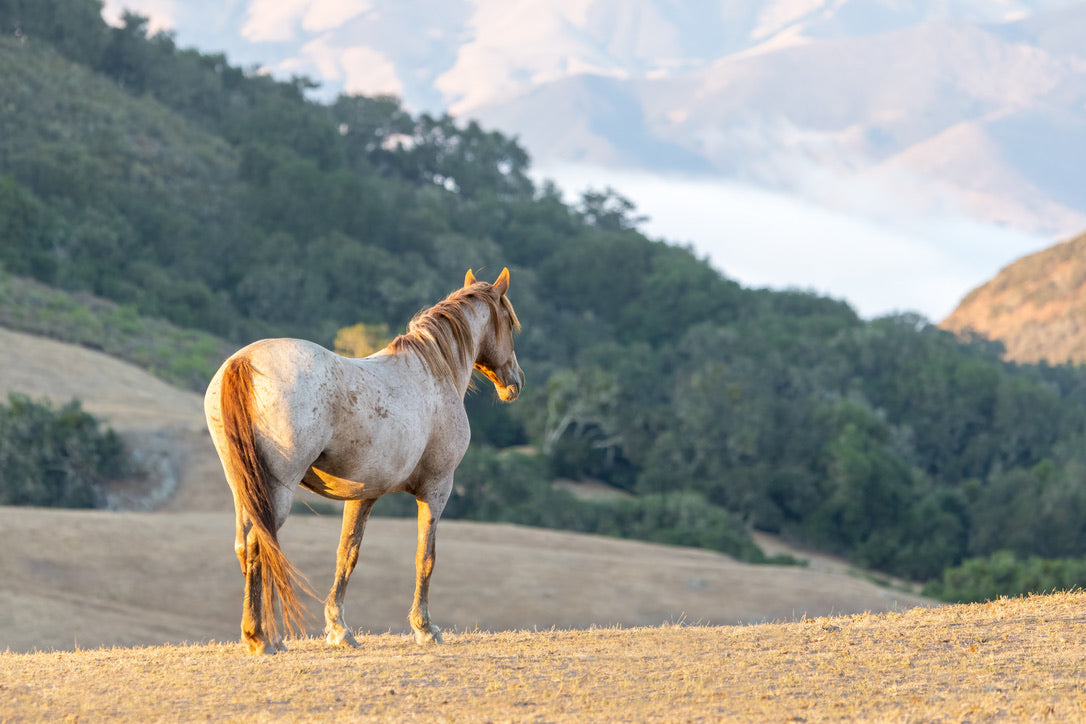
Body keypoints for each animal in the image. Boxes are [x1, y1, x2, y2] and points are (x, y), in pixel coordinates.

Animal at [206, 269, 525, 655]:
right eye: (509, 322)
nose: (515, 382)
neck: (433, 372)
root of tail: (244, 363)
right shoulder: (437, 488)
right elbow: (425, 557)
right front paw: (424, 627)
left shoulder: (363, 495)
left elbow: (347, 555)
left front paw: (338, 628)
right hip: (276, 489)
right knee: (257, 544)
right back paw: (260, 638)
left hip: (244, 488)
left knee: (244, 546)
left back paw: (263, 635)